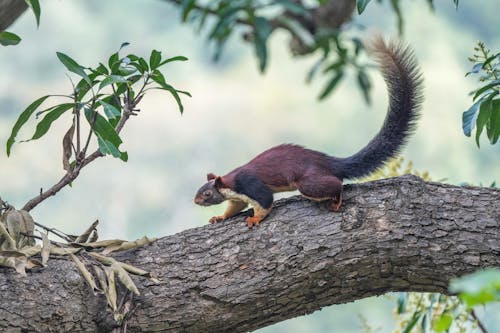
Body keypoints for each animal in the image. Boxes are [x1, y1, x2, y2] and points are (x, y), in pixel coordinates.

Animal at [193, 37, 424, 228]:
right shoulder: (237, 197)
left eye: (207, 193)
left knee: (337, 184)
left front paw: (254, 219)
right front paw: (219, 217)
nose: (195, 201)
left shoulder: (250, 185)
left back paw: (337, 199)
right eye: (200, 189)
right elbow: (234, 208)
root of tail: (328, 162)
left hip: (308, 182)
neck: (231, 183)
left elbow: (265, 201)